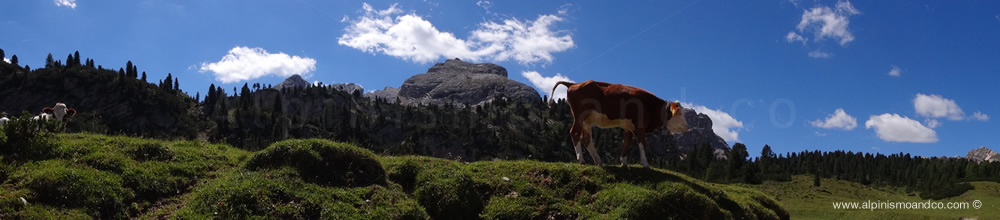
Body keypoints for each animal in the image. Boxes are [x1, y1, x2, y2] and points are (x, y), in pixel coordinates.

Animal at [548, 81, 688, 168]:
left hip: (587, 121)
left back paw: (598, 161)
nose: (687, 127)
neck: (651, 107)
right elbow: (642, 144)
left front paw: (623, 163)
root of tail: (573, 84)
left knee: (587, 139)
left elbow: (626, 144)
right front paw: (646, 164)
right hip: (579, 116)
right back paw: (581, 159)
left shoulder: (629, 128)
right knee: (574, 133)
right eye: (680, 113)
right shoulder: (640, 126)